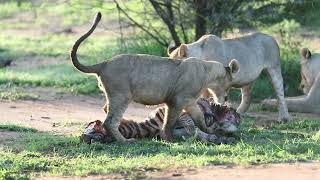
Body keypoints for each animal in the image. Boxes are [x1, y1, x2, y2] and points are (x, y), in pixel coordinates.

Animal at [70, 11, 240, 143]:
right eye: (229, 84)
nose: (226, 99)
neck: (207, 70)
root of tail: (103, 63)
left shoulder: (189, 102)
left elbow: (199, 119)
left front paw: (211, 130)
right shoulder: (177, 101)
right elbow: (169, 122)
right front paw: (169, 139)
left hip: (115, 96)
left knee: (106, 111)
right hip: (121, 96)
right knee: (109, 121)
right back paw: (125, 141)